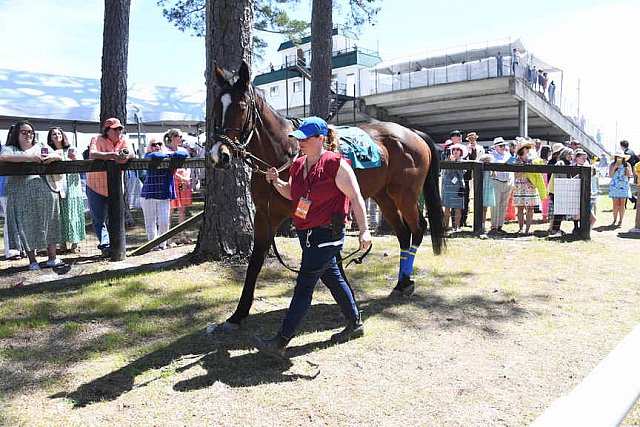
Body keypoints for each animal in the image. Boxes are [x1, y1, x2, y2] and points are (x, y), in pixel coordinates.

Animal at [210, 61, 444, 332]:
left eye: (241, 106)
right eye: (216, 106)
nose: (219, 155)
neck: (284, 153)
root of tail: (413, 133)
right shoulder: (264, 215)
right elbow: (256, 261)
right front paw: (238, 314)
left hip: (404, 195)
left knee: (418, 228)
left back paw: (405, 281)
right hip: (383, 196)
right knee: (404, 234)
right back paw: (401, 283)